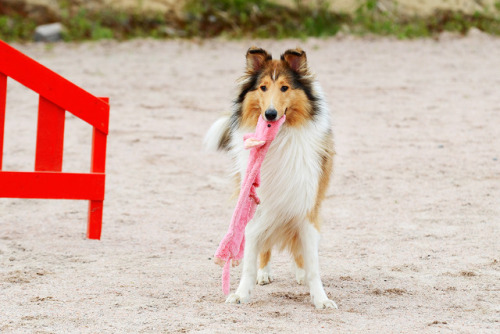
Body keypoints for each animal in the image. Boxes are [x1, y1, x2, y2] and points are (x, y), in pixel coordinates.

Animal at [205, 47, 338, 310]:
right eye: (263, 87)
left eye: (285, 88)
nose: (270, 114)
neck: (280, 138)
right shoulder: (256, 203)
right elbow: (249, 257)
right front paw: (241, 293)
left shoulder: (306, 206)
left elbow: (313, 262)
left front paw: (321, 298)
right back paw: (264, 273)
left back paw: (300, 274)